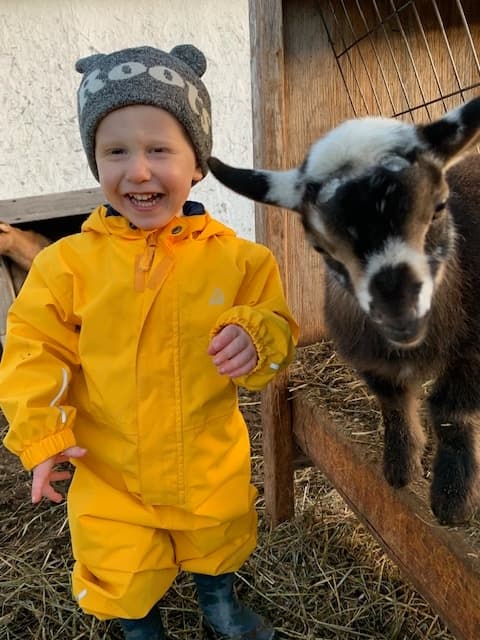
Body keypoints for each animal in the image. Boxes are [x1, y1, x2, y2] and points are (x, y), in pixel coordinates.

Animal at [208, 97, 480, 525]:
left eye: (439, 207)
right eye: (320, 245)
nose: (399, 313)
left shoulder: (473, 349)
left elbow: (451, 410)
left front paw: (453, 498)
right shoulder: (367, 355)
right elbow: (392, 401)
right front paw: (400, 467)